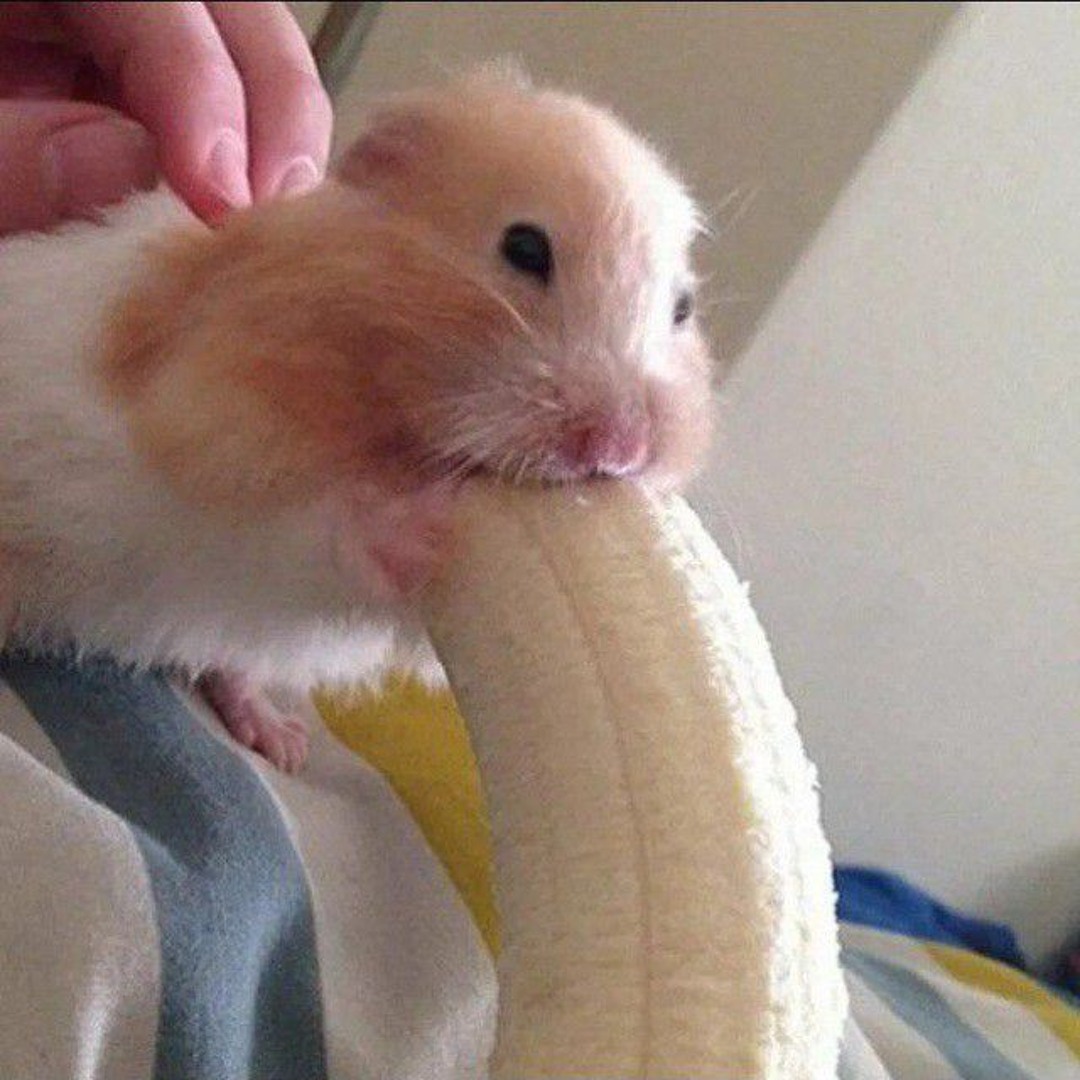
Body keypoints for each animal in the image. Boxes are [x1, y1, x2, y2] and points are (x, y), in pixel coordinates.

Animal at [0, 66, 715, 771]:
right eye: (525, 247)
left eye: (681, 309)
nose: (620, 449)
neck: (379, 414)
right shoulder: (203, 451)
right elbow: (314, 526)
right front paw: (432, 518)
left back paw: (280, 742)